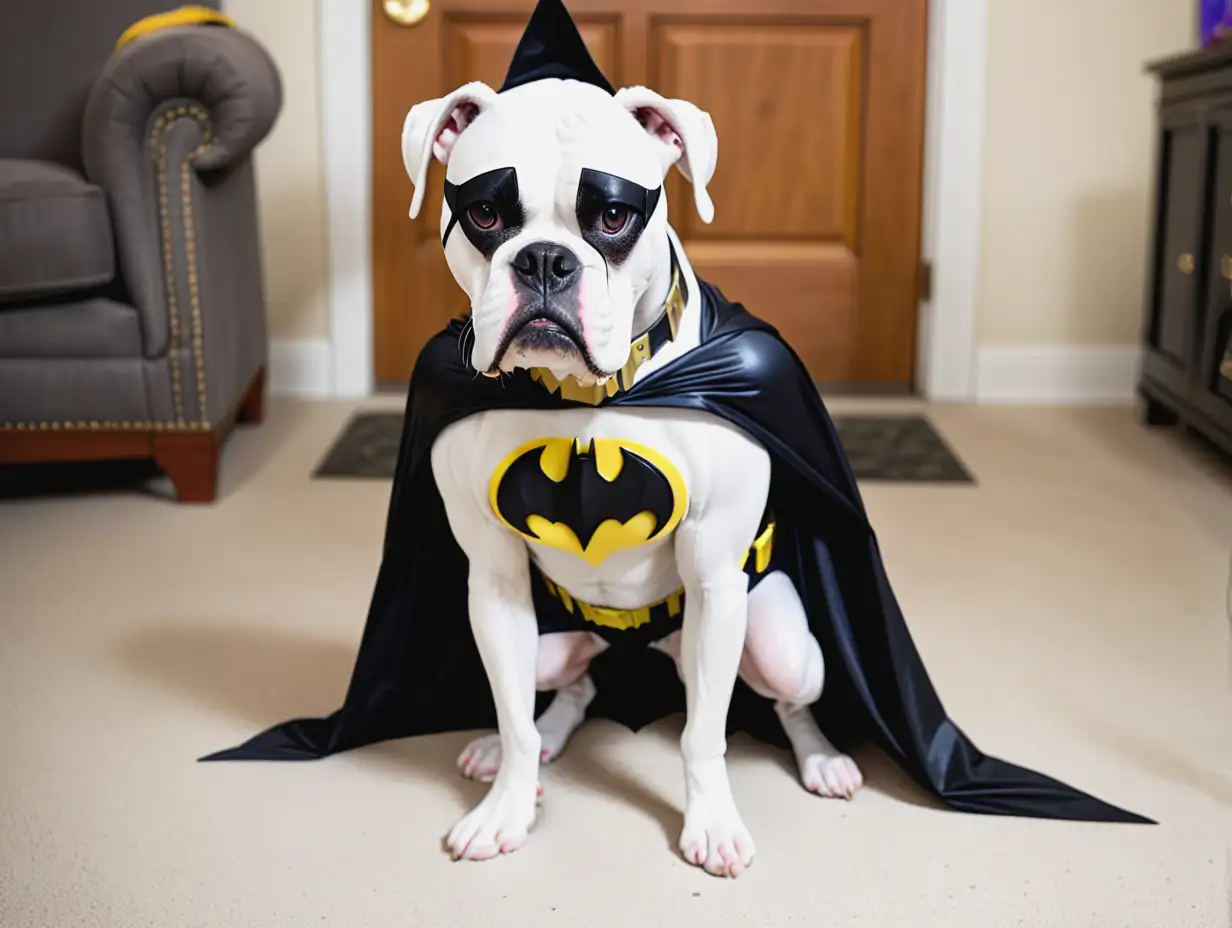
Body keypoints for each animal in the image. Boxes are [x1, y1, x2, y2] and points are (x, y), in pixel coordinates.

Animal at [399, 74, 862, 877]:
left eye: (613, 215)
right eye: (485, 213)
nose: (544, 260)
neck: (589, 394)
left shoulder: (716, 583)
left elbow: (703, 733)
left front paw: (711, 822)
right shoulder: (493, 582)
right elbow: (513, 713)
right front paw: (507, 804)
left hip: (783, 649)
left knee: (788, 697)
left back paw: (821, 759)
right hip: (551, 641)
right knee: (566, 687)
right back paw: (521, 749)